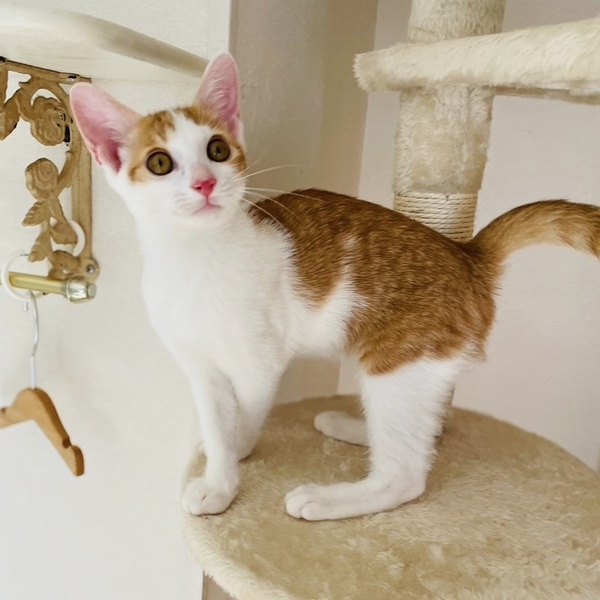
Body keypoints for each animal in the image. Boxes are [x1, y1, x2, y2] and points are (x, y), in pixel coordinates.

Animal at [70, 53, 600, 521]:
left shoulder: (260, 366)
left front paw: (236, 457)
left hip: (398, 358)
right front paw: (220, 471)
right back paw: (353, 427)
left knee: (406, 473)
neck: (197, 259)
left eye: (216, 150)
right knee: (424, 431)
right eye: (160, 163)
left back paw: (328, 499)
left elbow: (247, 414)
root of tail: (467, 253)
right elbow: (215, 420)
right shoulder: (199, 365)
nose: (204, 183)